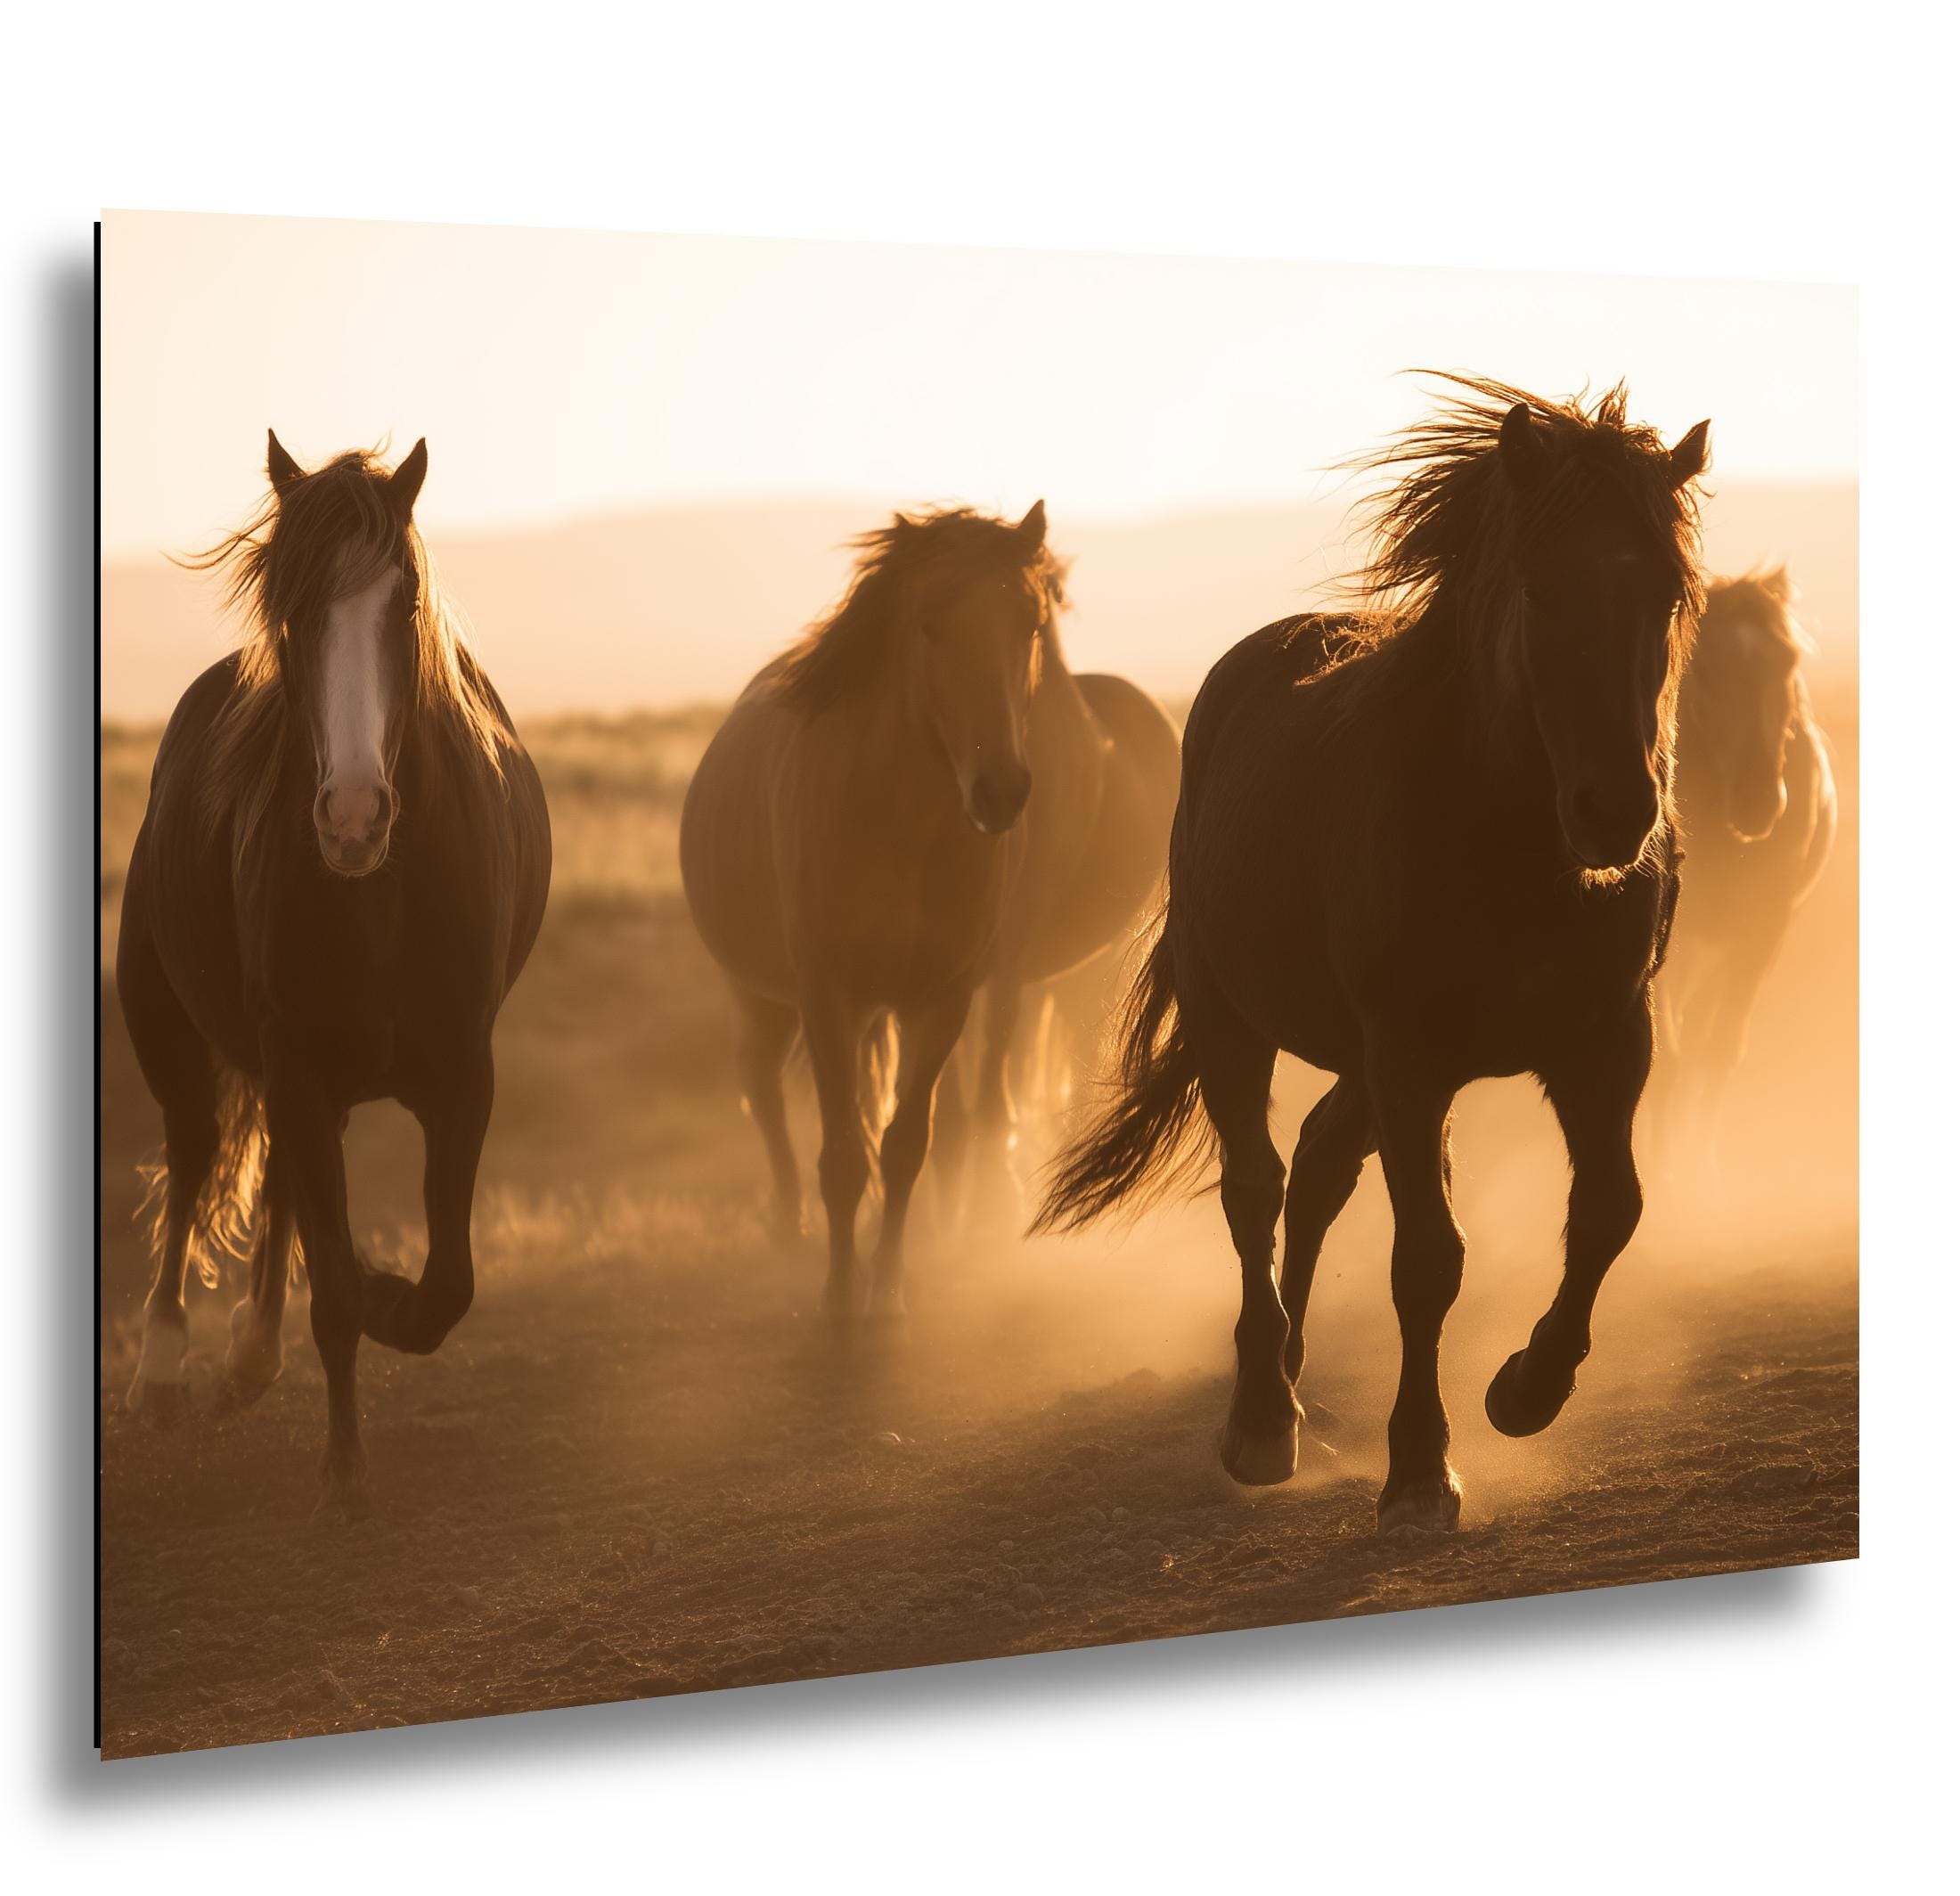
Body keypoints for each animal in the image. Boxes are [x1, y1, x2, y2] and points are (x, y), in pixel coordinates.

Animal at [116, 434, 552, 1515]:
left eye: (404, 603)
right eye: (292, 606)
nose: (352, 817)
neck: (379, 896)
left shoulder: (461, 1075)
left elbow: (444, 1288)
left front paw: (388, 1291)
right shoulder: (300, 1068)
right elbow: (336, 1289)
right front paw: (345, 1471)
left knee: (273, 1185)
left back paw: (251, 1354)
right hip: (175, 1030)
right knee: (193, 1158)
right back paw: (164, 1368)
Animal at [679, 503, 1062, 1322]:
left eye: (1031, 625)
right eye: (929, 622)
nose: (1000, 791)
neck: (902, 824)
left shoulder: (940, 1000)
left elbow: (904, 1145)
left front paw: (886, 1288)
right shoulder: (827, 995)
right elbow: (843, 1157)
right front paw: (836, 1294)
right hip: (762, 995)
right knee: (762, 1087)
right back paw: (788, 1226)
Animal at [1034, 377, 1710, 1534]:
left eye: (1664, 592)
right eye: (1537, 589)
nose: (1617, 812)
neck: (1505, 851)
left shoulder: (1604, 1043)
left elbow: (1607, 1211)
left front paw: (1526, 1389)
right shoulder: (1410, 1059)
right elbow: (1427, 1260)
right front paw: (1419, 1470)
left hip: (1361, 1061)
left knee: (1314, 1170)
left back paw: (1290, 1375)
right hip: (1234, 1018)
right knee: (1256, 1186)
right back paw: (1262, 1415)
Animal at [1652, 567, 1837, 1164]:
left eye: (1789, 661)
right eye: (1706, 670)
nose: (1759, 800)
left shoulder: (1764, 928)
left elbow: (1719, 1053)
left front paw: (1703, 1172)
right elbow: (1672, 1059)